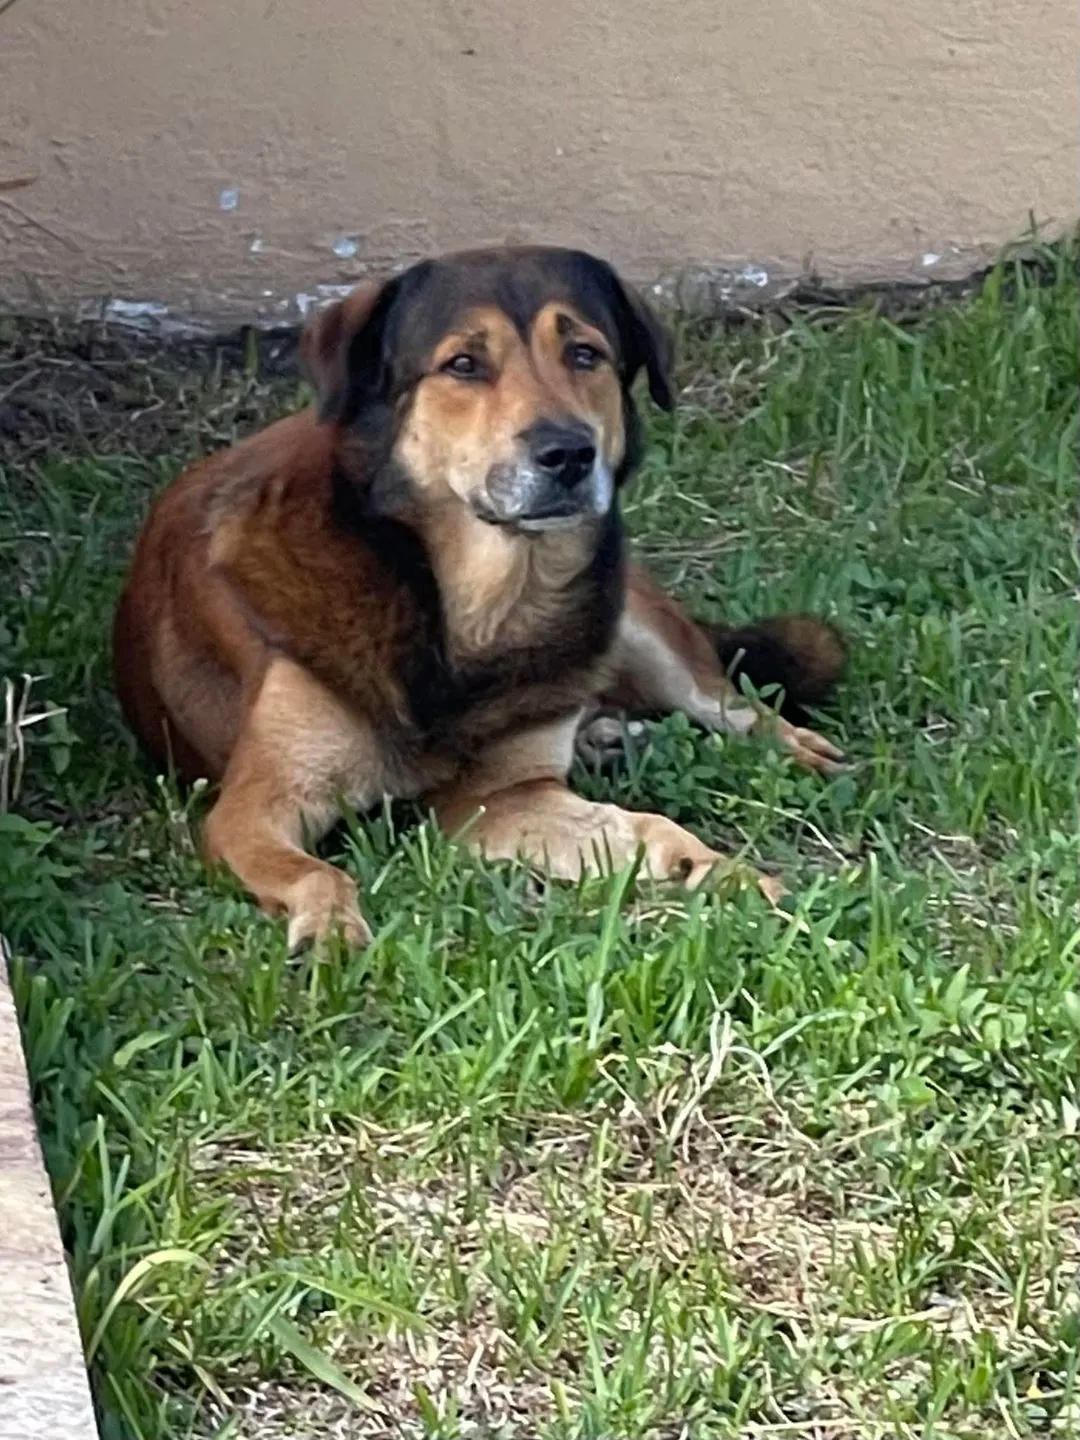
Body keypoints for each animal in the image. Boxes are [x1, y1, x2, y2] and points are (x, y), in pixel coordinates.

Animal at [114, 244, 852, 944]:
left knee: (730, 702)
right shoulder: (252, 811)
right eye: (464, 364)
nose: (568, 454)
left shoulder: (502, 797)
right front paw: (330, 933)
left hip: (629, 620)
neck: (468, 610)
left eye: (585, 354)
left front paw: (730, 876)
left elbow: (653, 830)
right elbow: (319, 874)